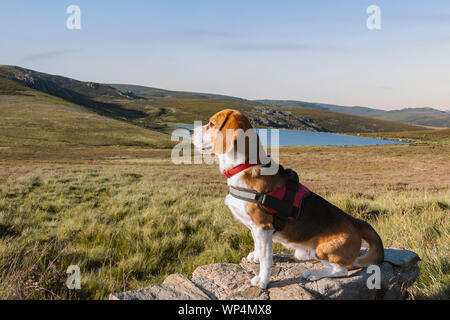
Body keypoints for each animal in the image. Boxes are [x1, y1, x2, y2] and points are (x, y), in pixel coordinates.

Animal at [190, 109, 384, 288]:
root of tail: (356, 222)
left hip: (322, 250)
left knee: (341, 269)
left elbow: (266, 259)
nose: (190, 132)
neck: (244, 166)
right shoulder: (255, 228)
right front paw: (255, 256)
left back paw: (313, 273)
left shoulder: (263, 227)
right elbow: (258, 247)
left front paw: (262, 280)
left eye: (212, 124)